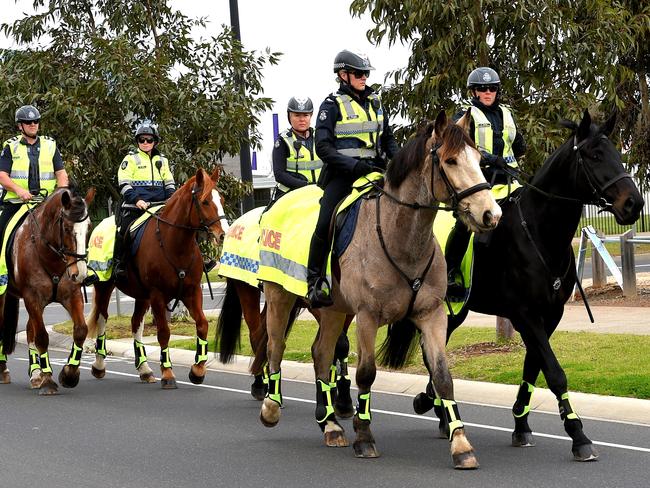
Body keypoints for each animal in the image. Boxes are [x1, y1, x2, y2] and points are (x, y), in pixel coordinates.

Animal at [0, 185, 95, 394]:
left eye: (89, 227)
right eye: (66, 228)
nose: (80, 274)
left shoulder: (71, 295)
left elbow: (81, 330)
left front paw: (69, 374)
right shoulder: (32, 298)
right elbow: (42, 337)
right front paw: (49, 380)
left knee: (29, 330)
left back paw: (36, 374)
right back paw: (4, 370)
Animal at [86, 168, 228, 388]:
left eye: (221, 199)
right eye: (205, 202)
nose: (223, 234)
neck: (175, 244)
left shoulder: (192, 291)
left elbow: (202, 325)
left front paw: (197, 370)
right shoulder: (158, 296)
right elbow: (163, 332)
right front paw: (168, 373)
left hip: (141, 296)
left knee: (136, 323)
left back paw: (144, 369)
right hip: (104, 286)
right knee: (102, 319)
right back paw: (99, 366)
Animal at [246, 110, 498, 468]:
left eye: (479, 159)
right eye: (450, 161)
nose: (490, 214)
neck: (400, 237)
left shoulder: (431, 315)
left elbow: (442, 376)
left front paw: (461, 444)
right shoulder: (367, 316)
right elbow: (366, 373)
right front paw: (364, 436)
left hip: (334, 309)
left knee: (321, 353)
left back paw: (330, 426)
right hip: (280, 295)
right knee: (275, 347)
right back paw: (271, 407)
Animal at [408, 109, 640, 462]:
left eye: (616, 152)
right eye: (595, 155)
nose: (634, 204)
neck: (539, 232)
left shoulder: (549, 315)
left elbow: (533, 366)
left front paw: (521, 424)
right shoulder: (525, 315)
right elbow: (554, 372)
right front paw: (578, 435)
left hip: (457, 312)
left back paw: (439, 412)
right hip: (446, 309)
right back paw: (434, 408)